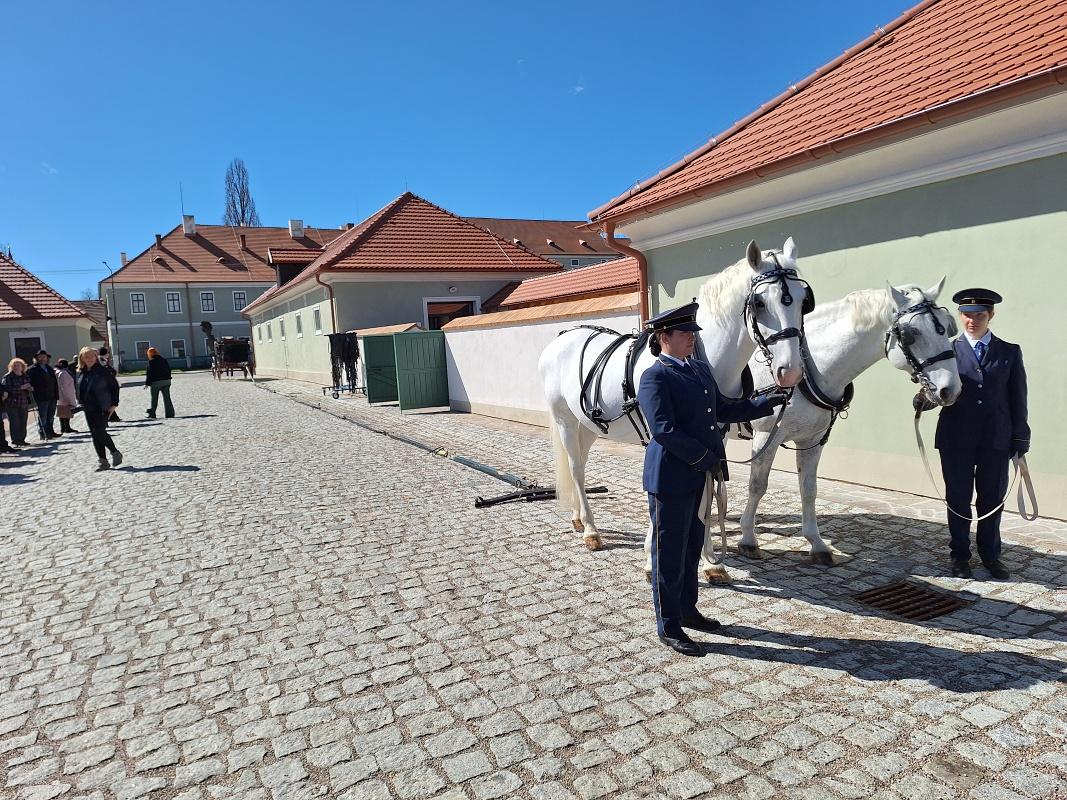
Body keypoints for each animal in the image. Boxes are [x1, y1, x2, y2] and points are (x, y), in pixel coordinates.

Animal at [542, 237, 806, 563]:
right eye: (759, 303)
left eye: (804, 299)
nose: (790, 371)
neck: (697, 360)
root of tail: (563, 337)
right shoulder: (670, 435)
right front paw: (654, 549)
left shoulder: (714, 435)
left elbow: (707, 486)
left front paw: (709, 559)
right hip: (565, 420)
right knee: (576, 468)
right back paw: (591, 530)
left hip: (588, 425)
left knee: (579, 460)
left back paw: (579, 518)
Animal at [734, 279, 968, 563]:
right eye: (911, 333)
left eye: (947, 326)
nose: (951, 390)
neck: (807, 371)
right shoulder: (765, 436)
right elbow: (757, 486)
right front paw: (748, 539)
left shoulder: (813, 440)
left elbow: (809, 488)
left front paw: (816, 543)